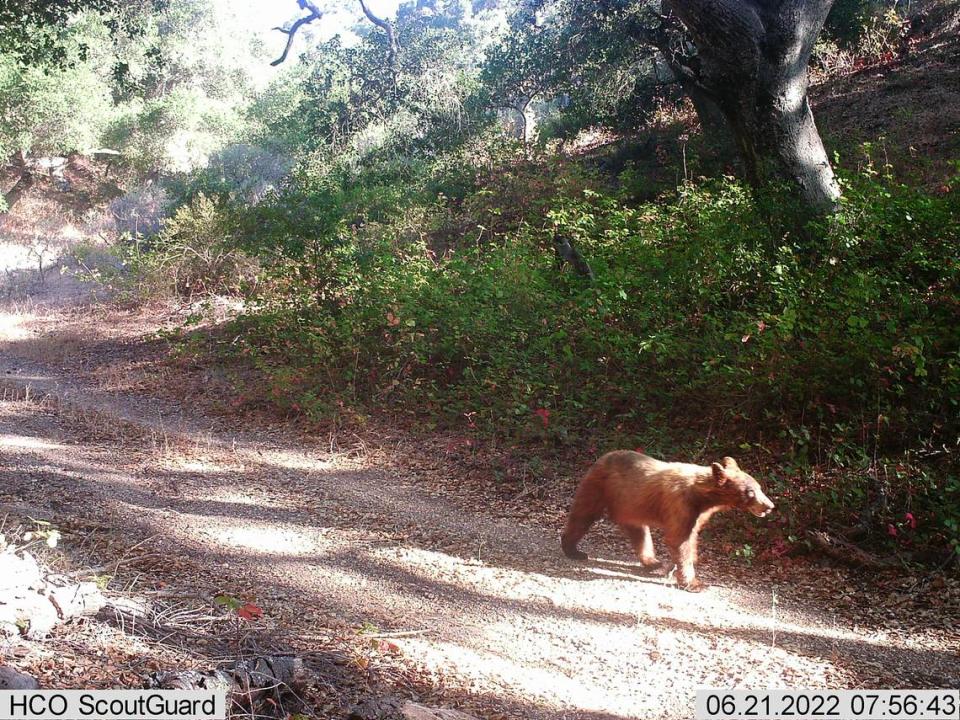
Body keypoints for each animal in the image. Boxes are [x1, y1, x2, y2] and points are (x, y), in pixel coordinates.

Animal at [560, 452, 776, 592]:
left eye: (759, 487)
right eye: (750, 492)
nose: (769, 506)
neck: (702, 496)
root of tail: (602, 458)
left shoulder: (697, 514)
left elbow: (691, 538)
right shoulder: (681, 504)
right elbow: (679, 539)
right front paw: (694, 583)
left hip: (631, 505)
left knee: (639, 532)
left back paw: (653, 562)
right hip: (599, 488)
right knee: (583, 515)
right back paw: (573, 549)